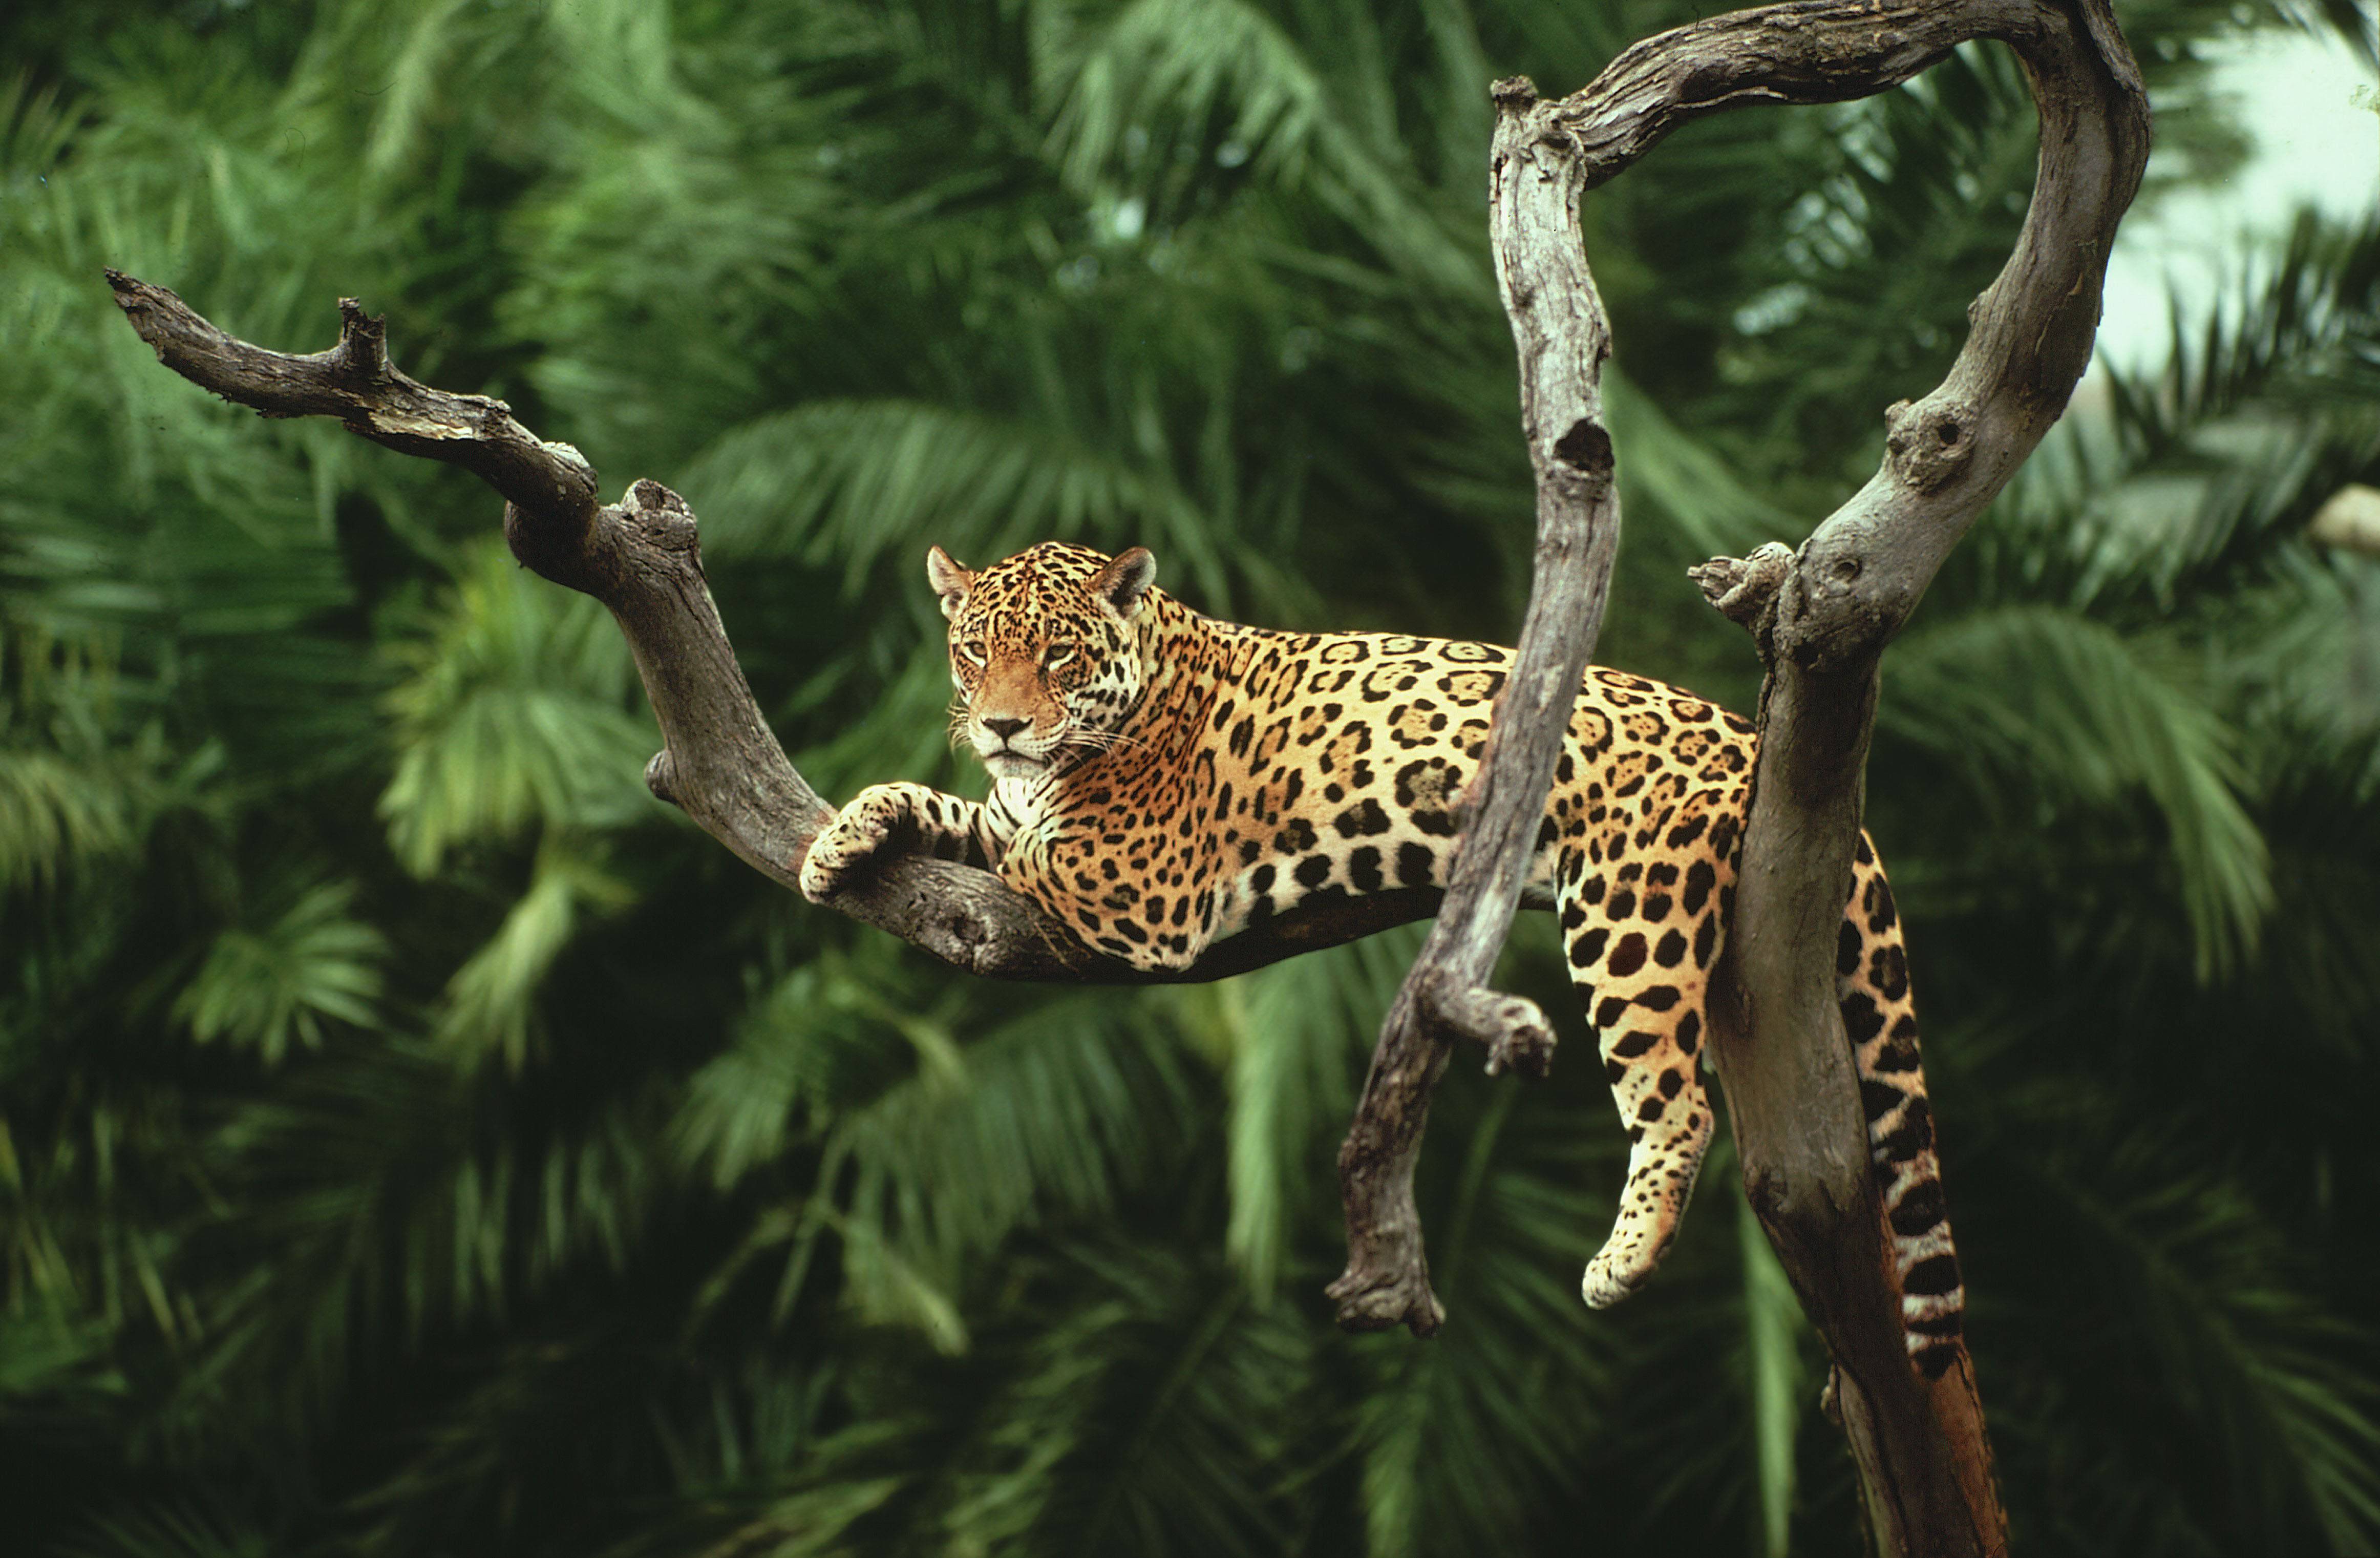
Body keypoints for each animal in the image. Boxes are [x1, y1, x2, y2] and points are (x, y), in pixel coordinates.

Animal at [799, 540, 1964, 1375]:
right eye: (971, 652)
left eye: (1058, 655)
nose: (1000, 725)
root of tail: (1744, 734)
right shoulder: (1022, 810)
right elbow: (955, 808)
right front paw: (839, 839)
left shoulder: (1140, 883)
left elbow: (1026, 843)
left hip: (1627, 915)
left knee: (1675, 1105)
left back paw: (1620, 1263)